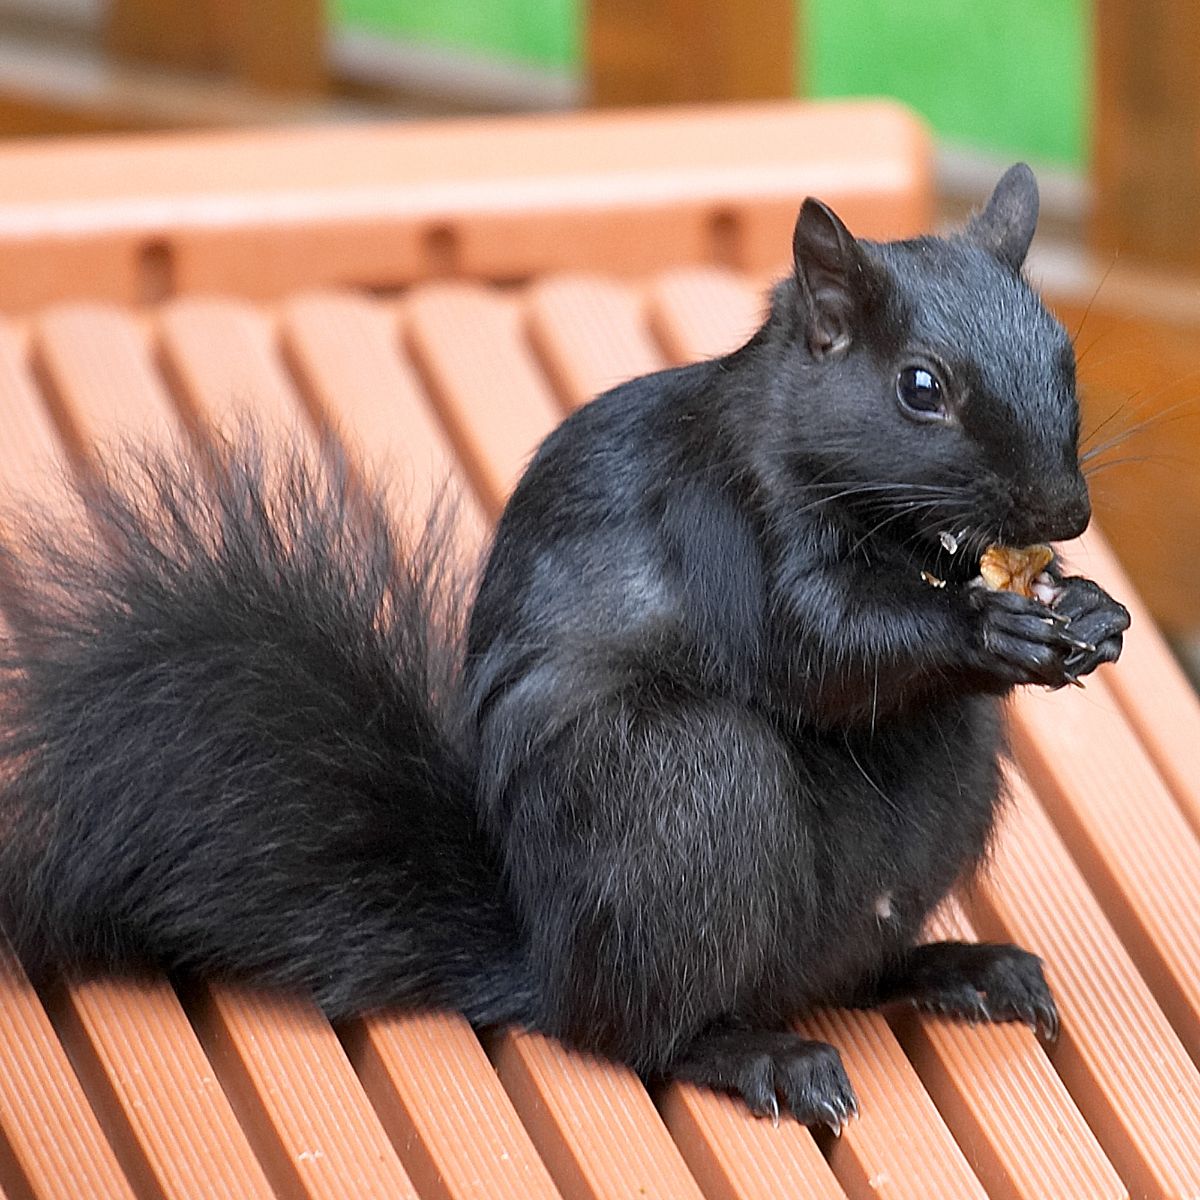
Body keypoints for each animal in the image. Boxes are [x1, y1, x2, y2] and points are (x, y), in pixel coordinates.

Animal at [0, 164, 1123, 1128]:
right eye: (920, 388)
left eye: (1066, 356)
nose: (1064, 512)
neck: (876, 517)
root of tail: (545, 965)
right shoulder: (725, 521)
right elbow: (818, 649)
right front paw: (988, 625)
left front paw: (1087, 607)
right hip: (683, 790)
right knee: (637, 1033)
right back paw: (758, 1054)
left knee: (848, 969)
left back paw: (956, 971)